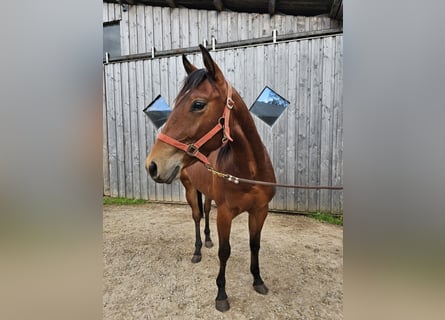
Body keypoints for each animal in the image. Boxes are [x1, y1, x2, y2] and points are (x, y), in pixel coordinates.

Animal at [146, 43, 276, 312]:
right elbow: (225, 252)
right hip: (189, 189)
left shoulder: (260, 210)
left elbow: (254, 244)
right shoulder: (225, 214)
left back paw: (206, 240)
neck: (249, 173)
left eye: (197, 104)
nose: (152, 165)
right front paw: (221, 294)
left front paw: (258, 280)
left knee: (205, 212)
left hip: (206, 193)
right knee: (196, 216)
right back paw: (197, 250)